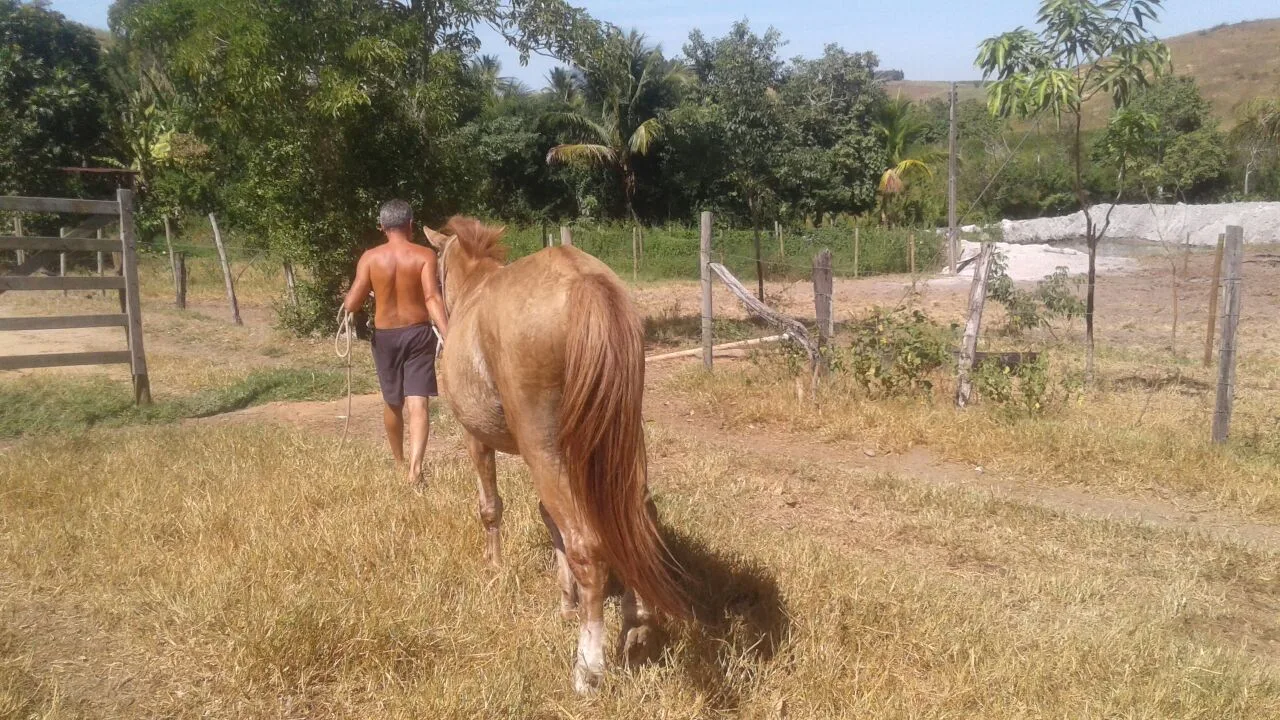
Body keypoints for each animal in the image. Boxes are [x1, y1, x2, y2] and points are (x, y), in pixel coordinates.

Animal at [432, 213, 691, 691]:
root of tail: (583, 281)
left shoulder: (476, 438)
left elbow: (491, 507)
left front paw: (495, 568)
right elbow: (550, 519)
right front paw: (565, 597)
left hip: (545, 447)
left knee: (588, 544)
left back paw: (589, 667)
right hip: (621, 445)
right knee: (638, 520)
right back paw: (636, 624)